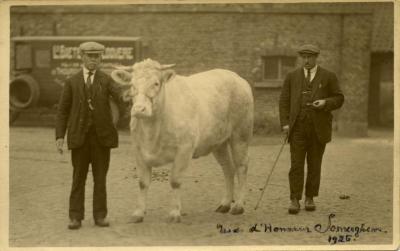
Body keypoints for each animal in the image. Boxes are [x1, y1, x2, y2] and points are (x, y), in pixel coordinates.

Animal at [111, 59, 253, 224]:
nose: (139, 109)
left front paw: (174, 213)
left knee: (241, 166)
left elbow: (175, 181)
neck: (152, 132)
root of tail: (235, 76)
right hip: (219, 142)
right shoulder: (139, 151)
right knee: (228, 168)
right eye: (132, 84)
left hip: (241, 134)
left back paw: (238, 206)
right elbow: (143, 183)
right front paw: (138, 213)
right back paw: (225, 204)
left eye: (156, 83)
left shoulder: (184, 149)